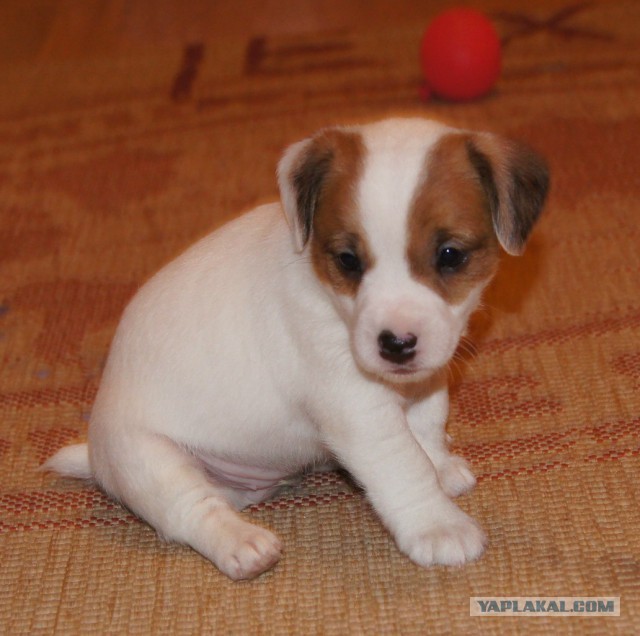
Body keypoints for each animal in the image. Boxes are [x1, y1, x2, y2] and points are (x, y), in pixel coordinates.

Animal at [45, 118, 548, 580]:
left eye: (450, 255)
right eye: (348, 260)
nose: (396, 345)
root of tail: (94, 455)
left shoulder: (426, 380)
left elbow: (427, 425)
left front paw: (441, 466)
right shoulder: (357, 409)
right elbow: (405, 465)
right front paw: (438, 525)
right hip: (149, 461)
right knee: (194, 510)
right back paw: (242, 544)